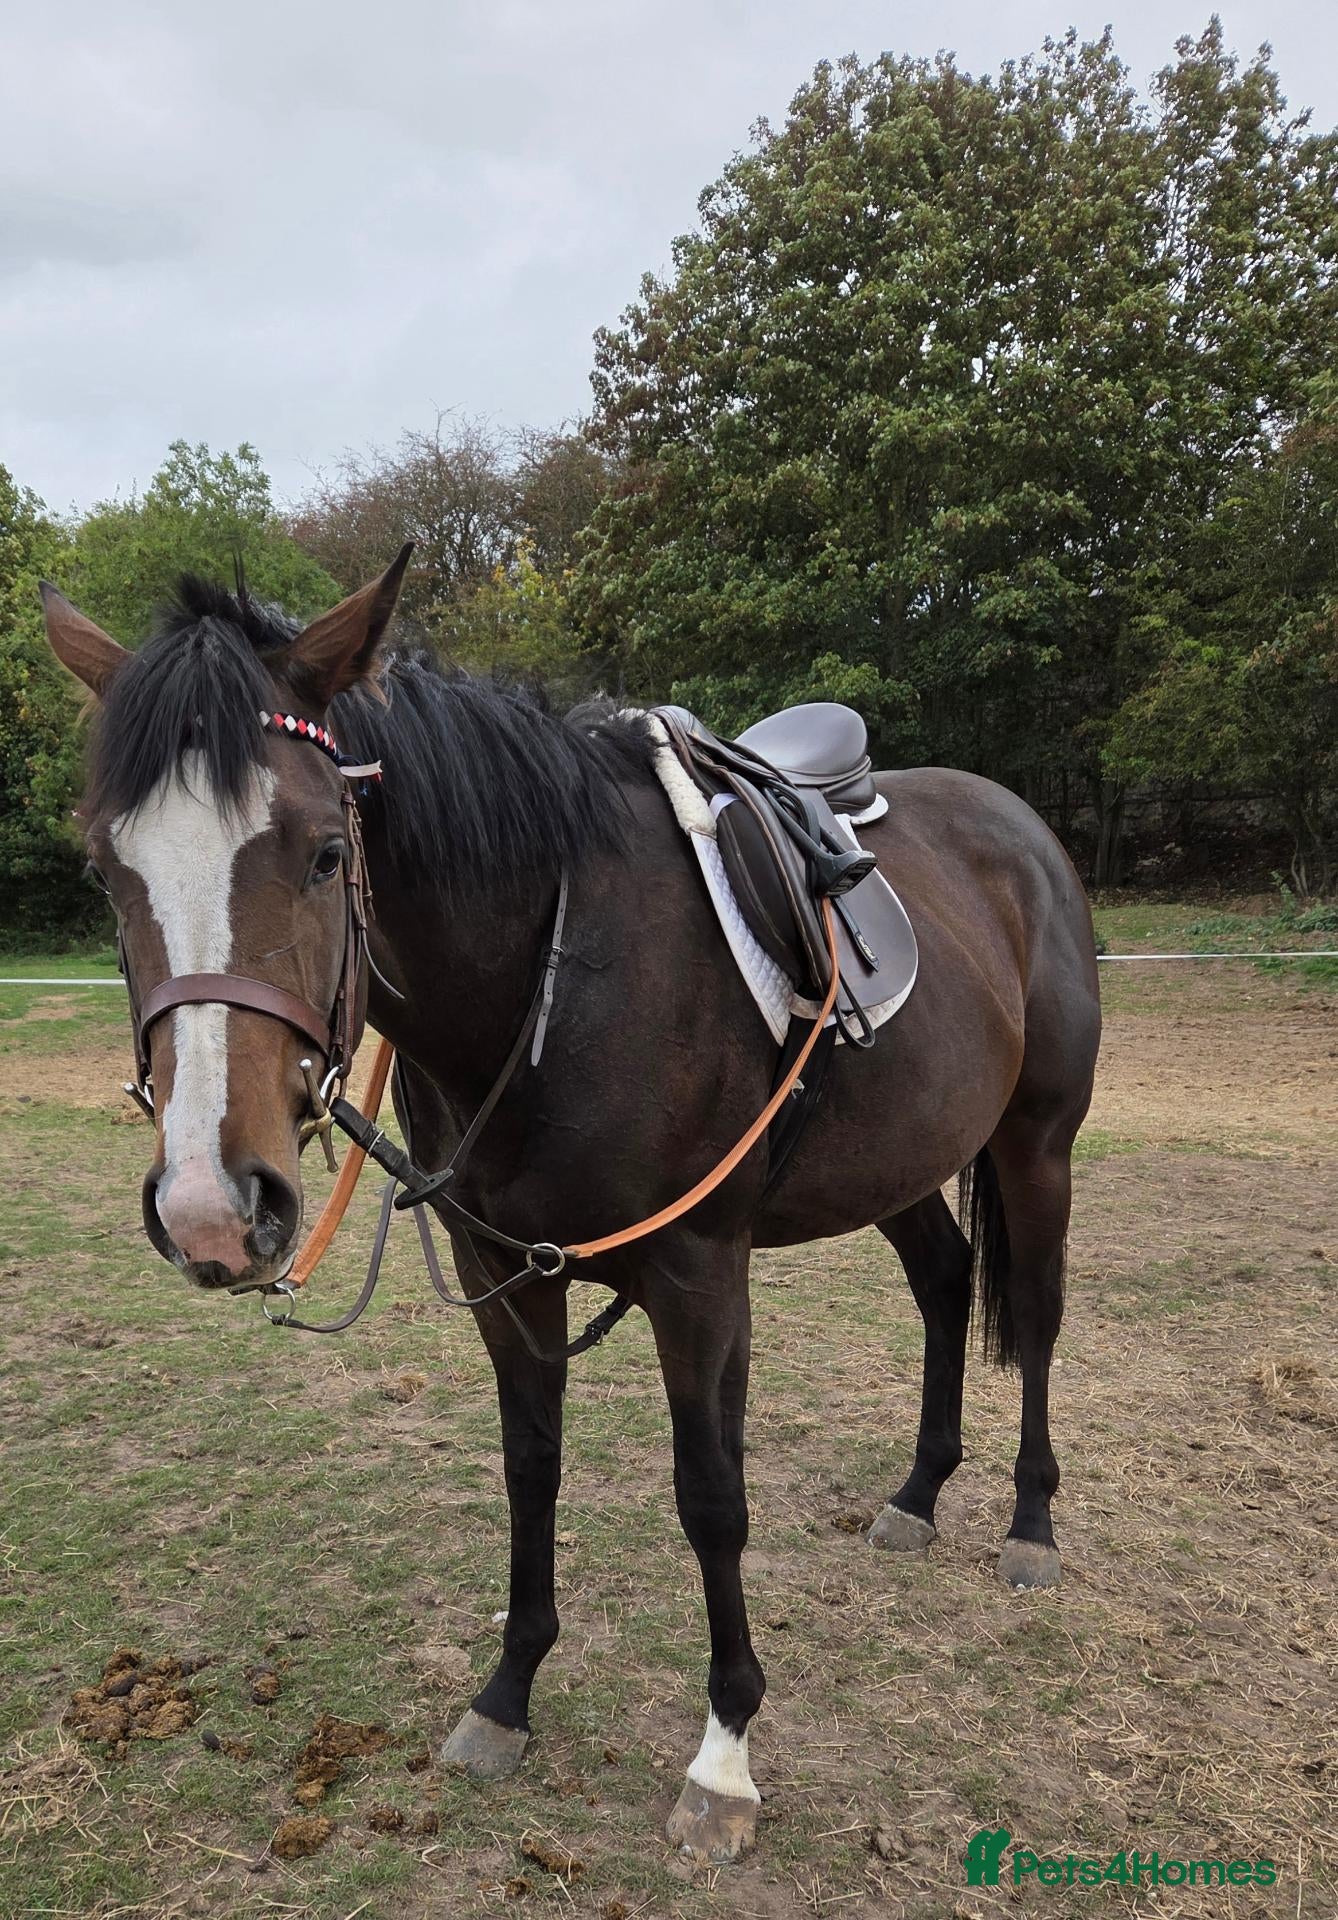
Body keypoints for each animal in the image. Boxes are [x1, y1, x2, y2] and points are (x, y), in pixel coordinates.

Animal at [40, 552, 1101, 1864]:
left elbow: (711, 1498)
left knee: (1037, 1316)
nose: (209, 1207)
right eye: (107, 869)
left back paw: (1029, 1524)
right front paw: (507, 1696)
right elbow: (530, 1468)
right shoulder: (505, 1276)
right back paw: (917, 1495)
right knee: (948, 1284)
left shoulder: (699, 1276)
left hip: (1036, 1144)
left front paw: (724, 1758)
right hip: (899, 1163)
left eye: (325, 854)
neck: (557, 977)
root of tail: (1019, 826)